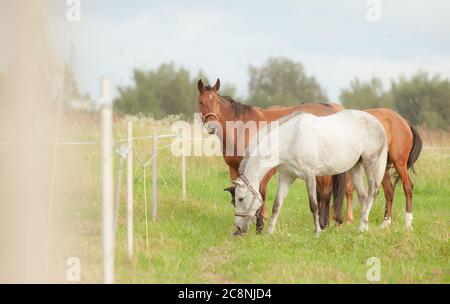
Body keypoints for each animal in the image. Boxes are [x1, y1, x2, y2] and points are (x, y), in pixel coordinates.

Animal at [196, 78, 344, 233]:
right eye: (201, 102)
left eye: (217, 103)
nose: (212, 126)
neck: (242, 128)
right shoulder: (234, 168)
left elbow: (260, 192)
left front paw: (259, 226)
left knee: (325, 194)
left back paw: (323, 224)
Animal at [232, 110, 386, 235]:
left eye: (240, 199)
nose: (238, 228)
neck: (291, 139)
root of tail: (377, 123)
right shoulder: (286, 177)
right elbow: (277, 205)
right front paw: (270, 232)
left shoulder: (309, 175)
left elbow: (314, 205)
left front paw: (317, 231)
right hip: (355, 167)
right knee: (363, 196)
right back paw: (363, 228)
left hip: (370, 162)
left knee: (373, 192)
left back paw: (362, 226)